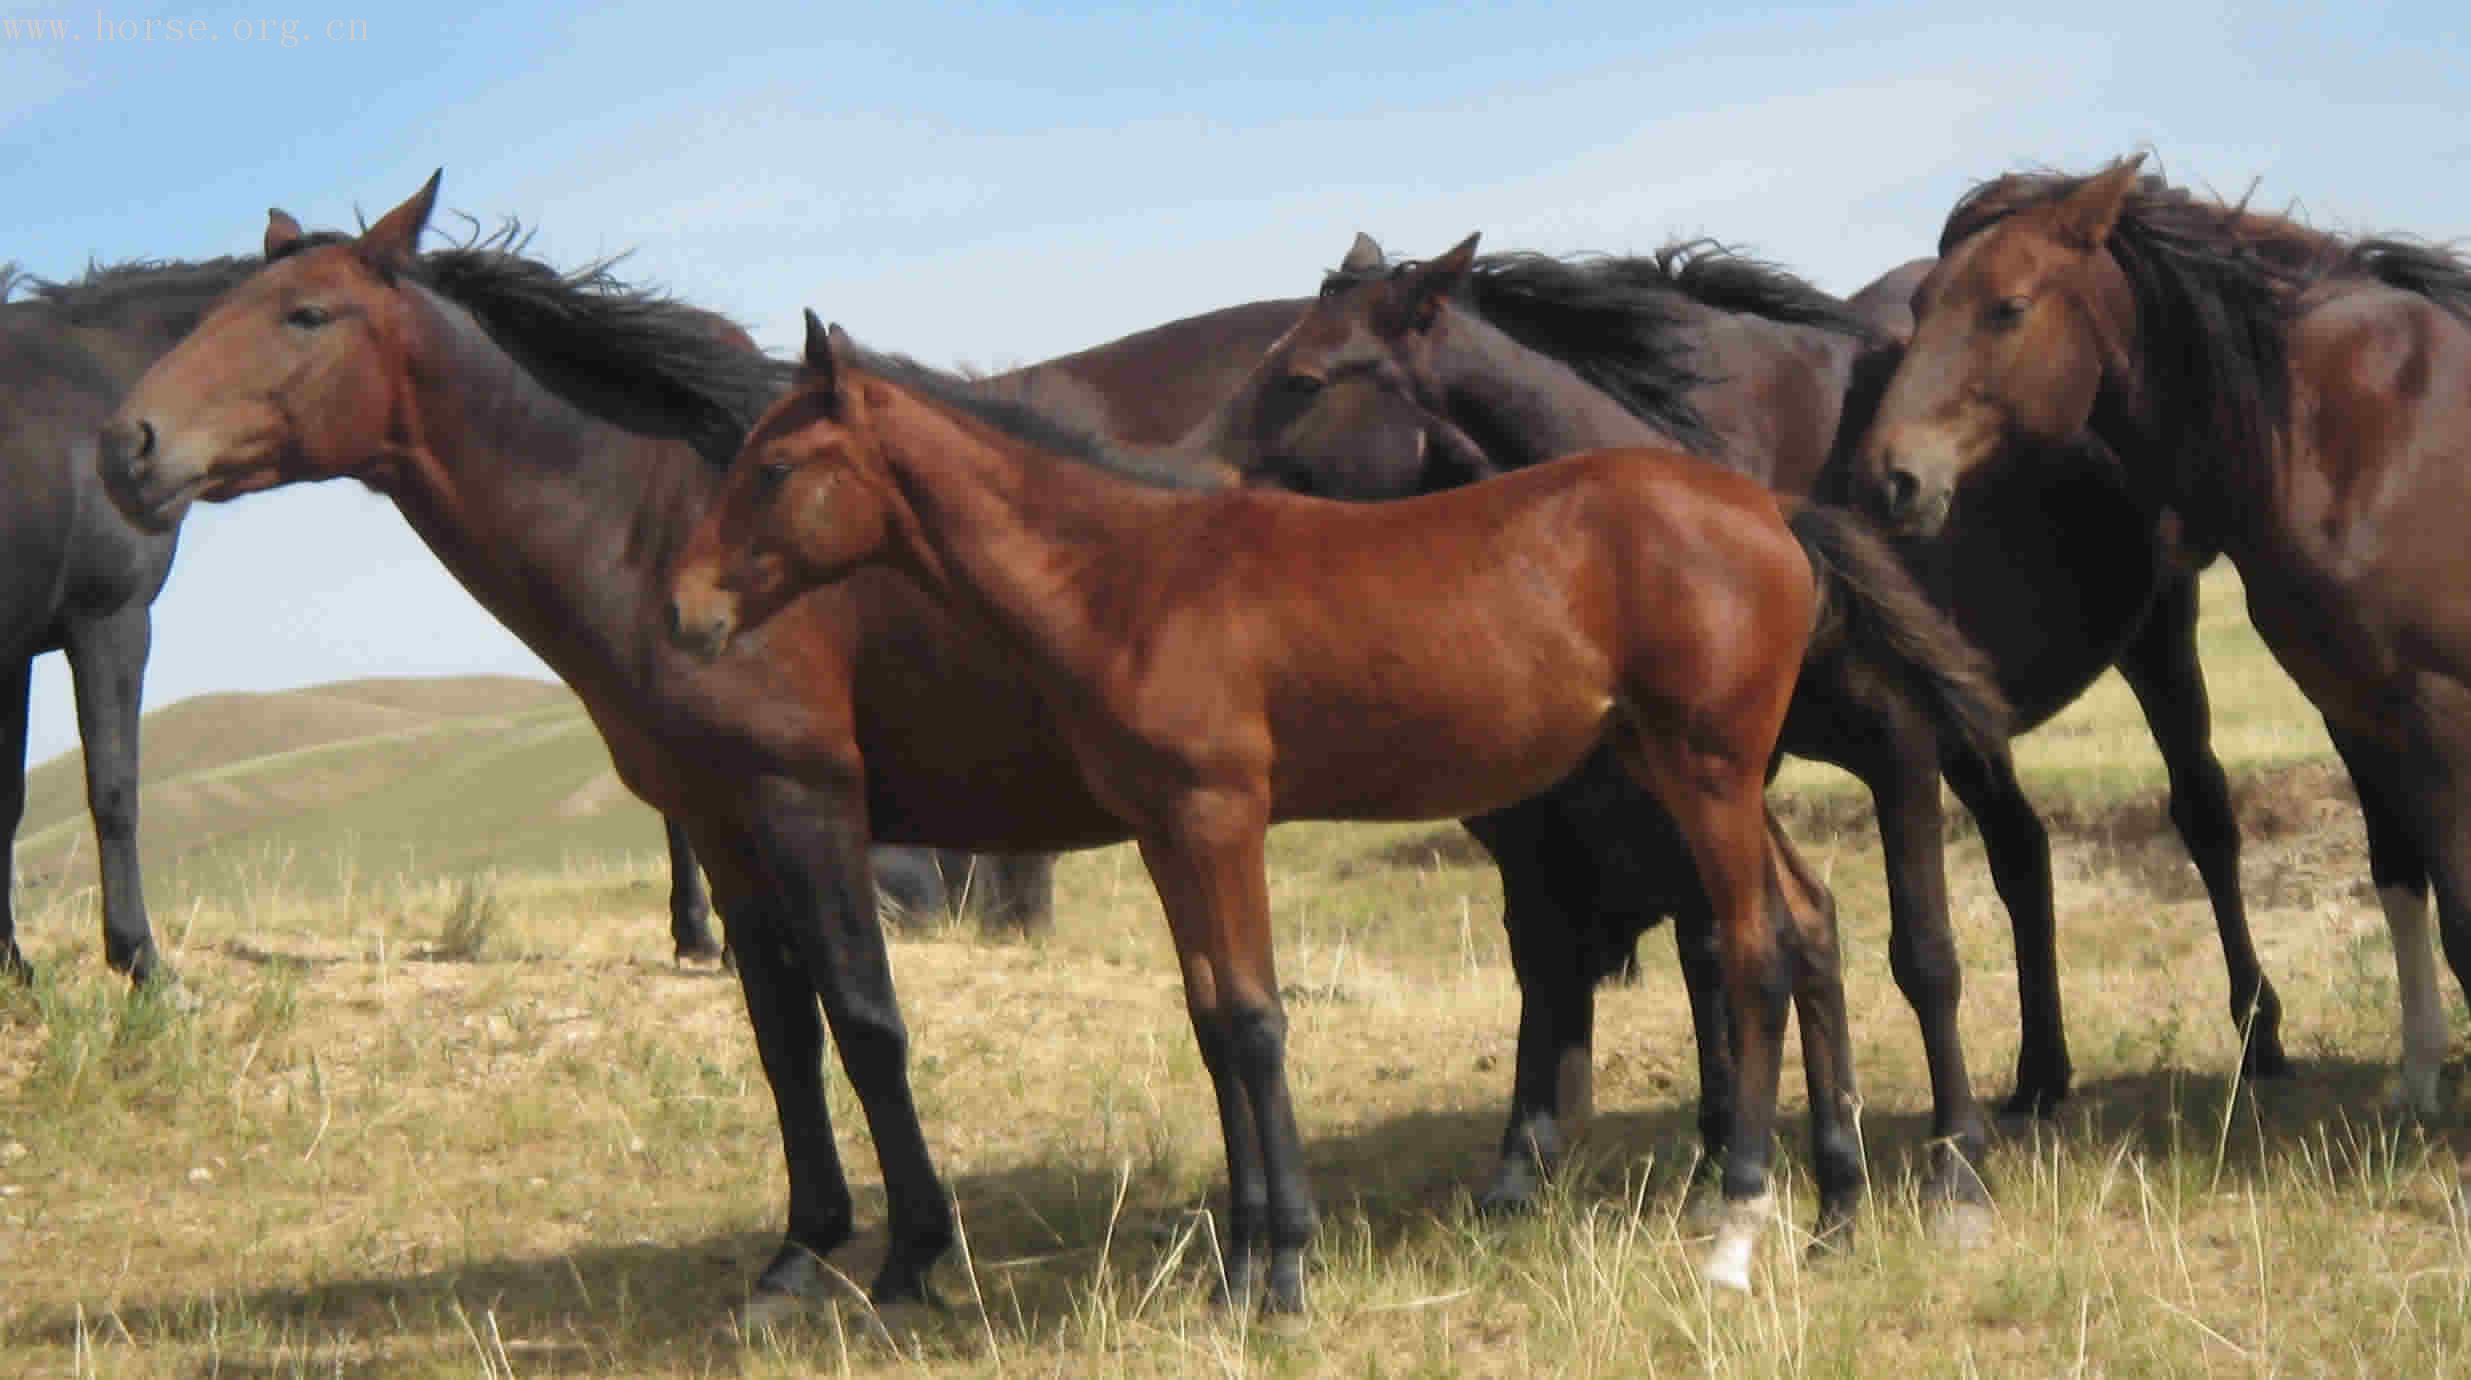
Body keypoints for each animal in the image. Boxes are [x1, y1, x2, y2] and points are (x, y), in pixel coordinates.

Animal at [1195, 232, 2273, 1226]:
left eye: (1300, 378)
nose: (1193, 483)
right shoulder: (1712, 764)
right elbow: (1718, 941)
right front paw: (1729, 1151)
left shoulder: (1894, 748)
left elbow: (1917, 955)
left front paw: (1948, 1165)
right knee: (2021, 856)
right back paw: (2039, 1077)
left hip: (2155, 649)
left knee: (2202, 818)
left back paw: (2254, 1035)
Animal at [1858, 159, 2471, 1157]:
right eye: (1919, 302)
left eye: (2007, 307)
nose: (1889, 478)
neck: (2369, 433)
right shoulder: (2356, 710)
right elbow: (2401, 880)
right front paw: (2419, 1086)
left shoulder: (2437, 711)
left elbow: (2458, 911)